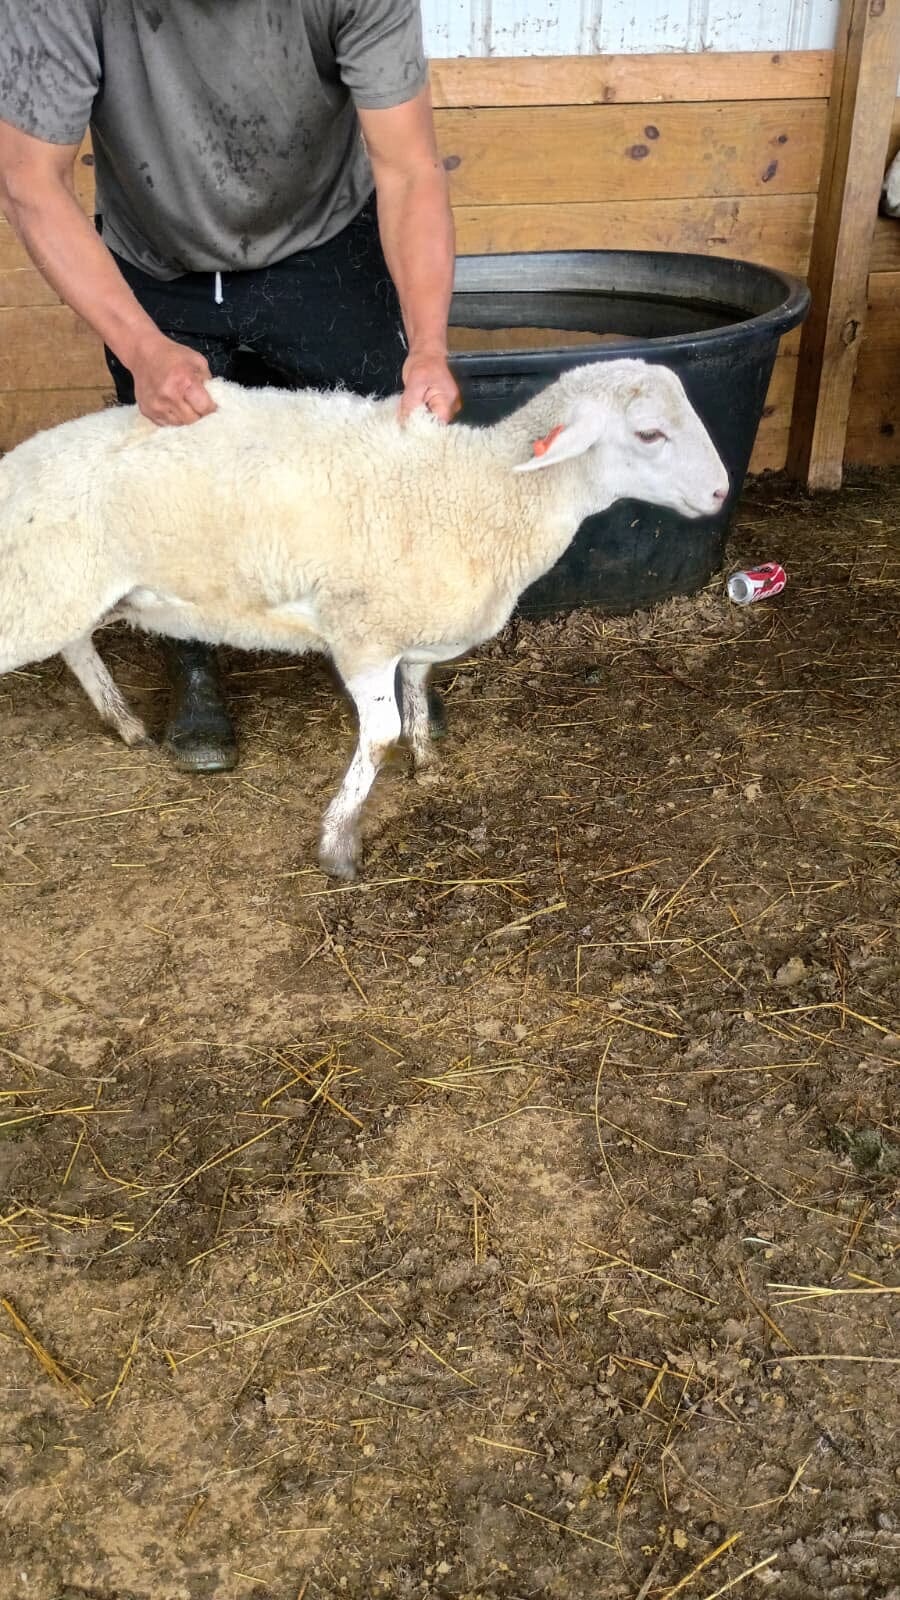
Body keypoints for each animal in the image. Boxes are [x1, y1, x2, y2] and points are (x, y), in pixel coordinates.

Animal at [0, 358, 729, 878]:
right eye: (650, 433)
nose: (722, 491)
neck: (488, 490)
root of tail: (15, 465)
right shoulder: (363, 633)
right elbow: (379, 734)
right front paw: (338, 842)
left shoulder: (410, 632)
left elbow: (418, 692)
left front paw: (427, 760)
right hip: (35, 588)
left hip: (65, 585)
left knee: (75, 643)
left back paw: (122, 721)